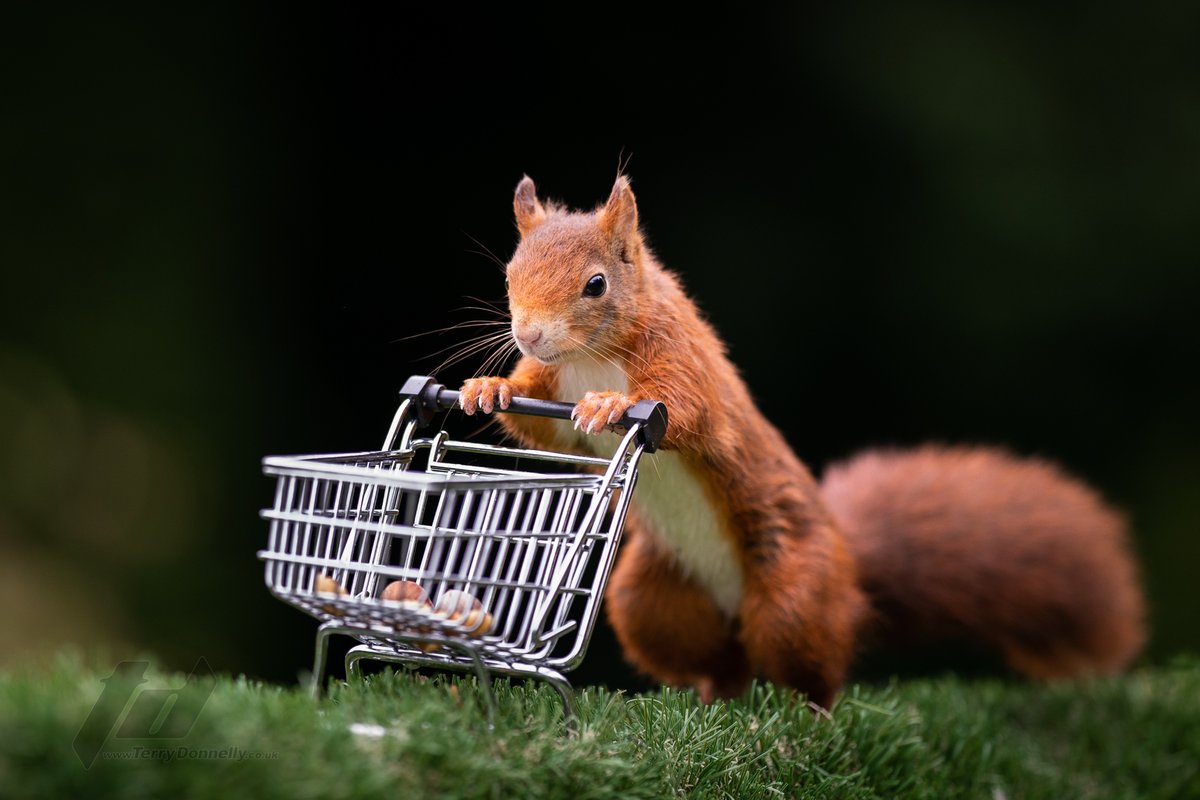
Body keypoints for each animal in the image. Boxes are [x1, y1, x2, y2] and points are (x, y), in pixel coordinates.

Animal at [456, 173, 1142, 705]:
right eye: (511, 274)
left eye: (595, 284)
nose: (530, 333)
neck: (589, 358)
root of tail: (849, 564)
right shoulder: (552, 387)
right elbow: (538, 420)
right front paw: (489, 387)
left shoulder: (682, 360)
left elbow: (687, 409)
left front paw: (612, 404)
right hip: (652, 601)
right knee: (723, 664)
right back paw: (713, 702)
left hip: (794, 590)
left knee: (810, 667)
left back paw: (806, 715)